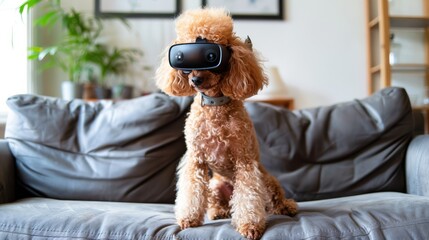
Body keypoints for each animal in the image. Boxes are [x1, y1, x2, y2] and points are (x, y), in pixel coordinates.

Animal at [155, 8, 298, 239]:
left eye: (211, 56)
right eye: (181, 58)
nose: (195, 80)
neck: (215, 106)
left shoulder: (244, 161)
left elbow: (248, 196)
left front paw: (250, 226)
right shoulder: (196, 160)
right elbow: (191, 192)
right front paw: (188, 219)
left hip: (266, 180)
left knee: (273, 200)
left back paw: (287, 206)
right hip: (214, 185)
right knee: (218, 202)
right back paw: (218, 212)